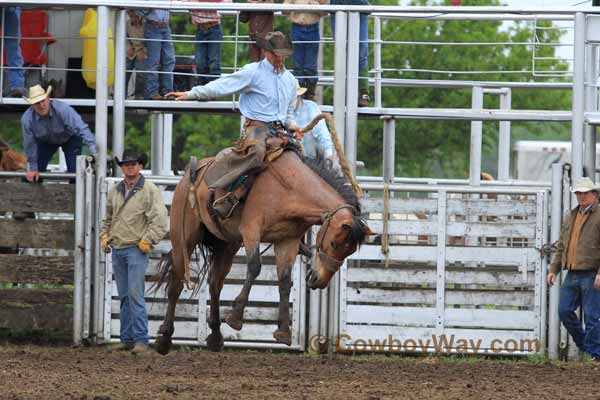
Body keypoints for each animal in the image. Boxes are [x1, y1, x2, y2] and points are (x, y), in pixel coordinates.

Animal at [152, 115, 372, 354]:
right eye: (333, 243)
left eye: (349, 252)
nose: (319, 281)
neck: (289, 189)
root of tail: (193, 171)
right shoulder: (251, 231)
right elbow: (255, 267)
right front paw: (236, 318)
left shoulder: (287, 241)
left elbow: (284, 280)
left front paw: (283, 331)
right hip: (184, 236)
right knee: (177, 282)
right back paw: (164, 339)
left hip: (226, 243)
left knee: (215, 283)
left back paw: (216, 337)